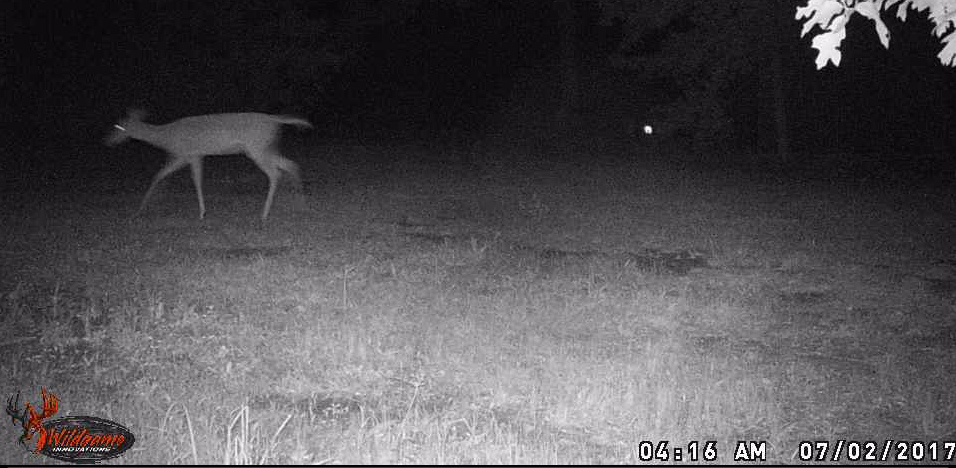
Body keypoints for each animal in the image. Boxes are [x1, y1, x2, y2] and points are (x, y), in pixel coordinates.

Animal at [105, 110, 312, 220]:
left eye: (118, 127)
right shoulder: (195, 155)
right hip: (266, 147)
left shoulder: (185, 154)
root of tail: (274, 119)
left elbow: (164, 175)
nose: (107, 141)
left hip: (257, 148)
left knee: (275, 173)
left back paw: (264, 214)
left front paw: (138, 210)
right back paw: (300, 205)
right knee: (291, 165)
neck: (165, 137)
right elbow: (192, 179)